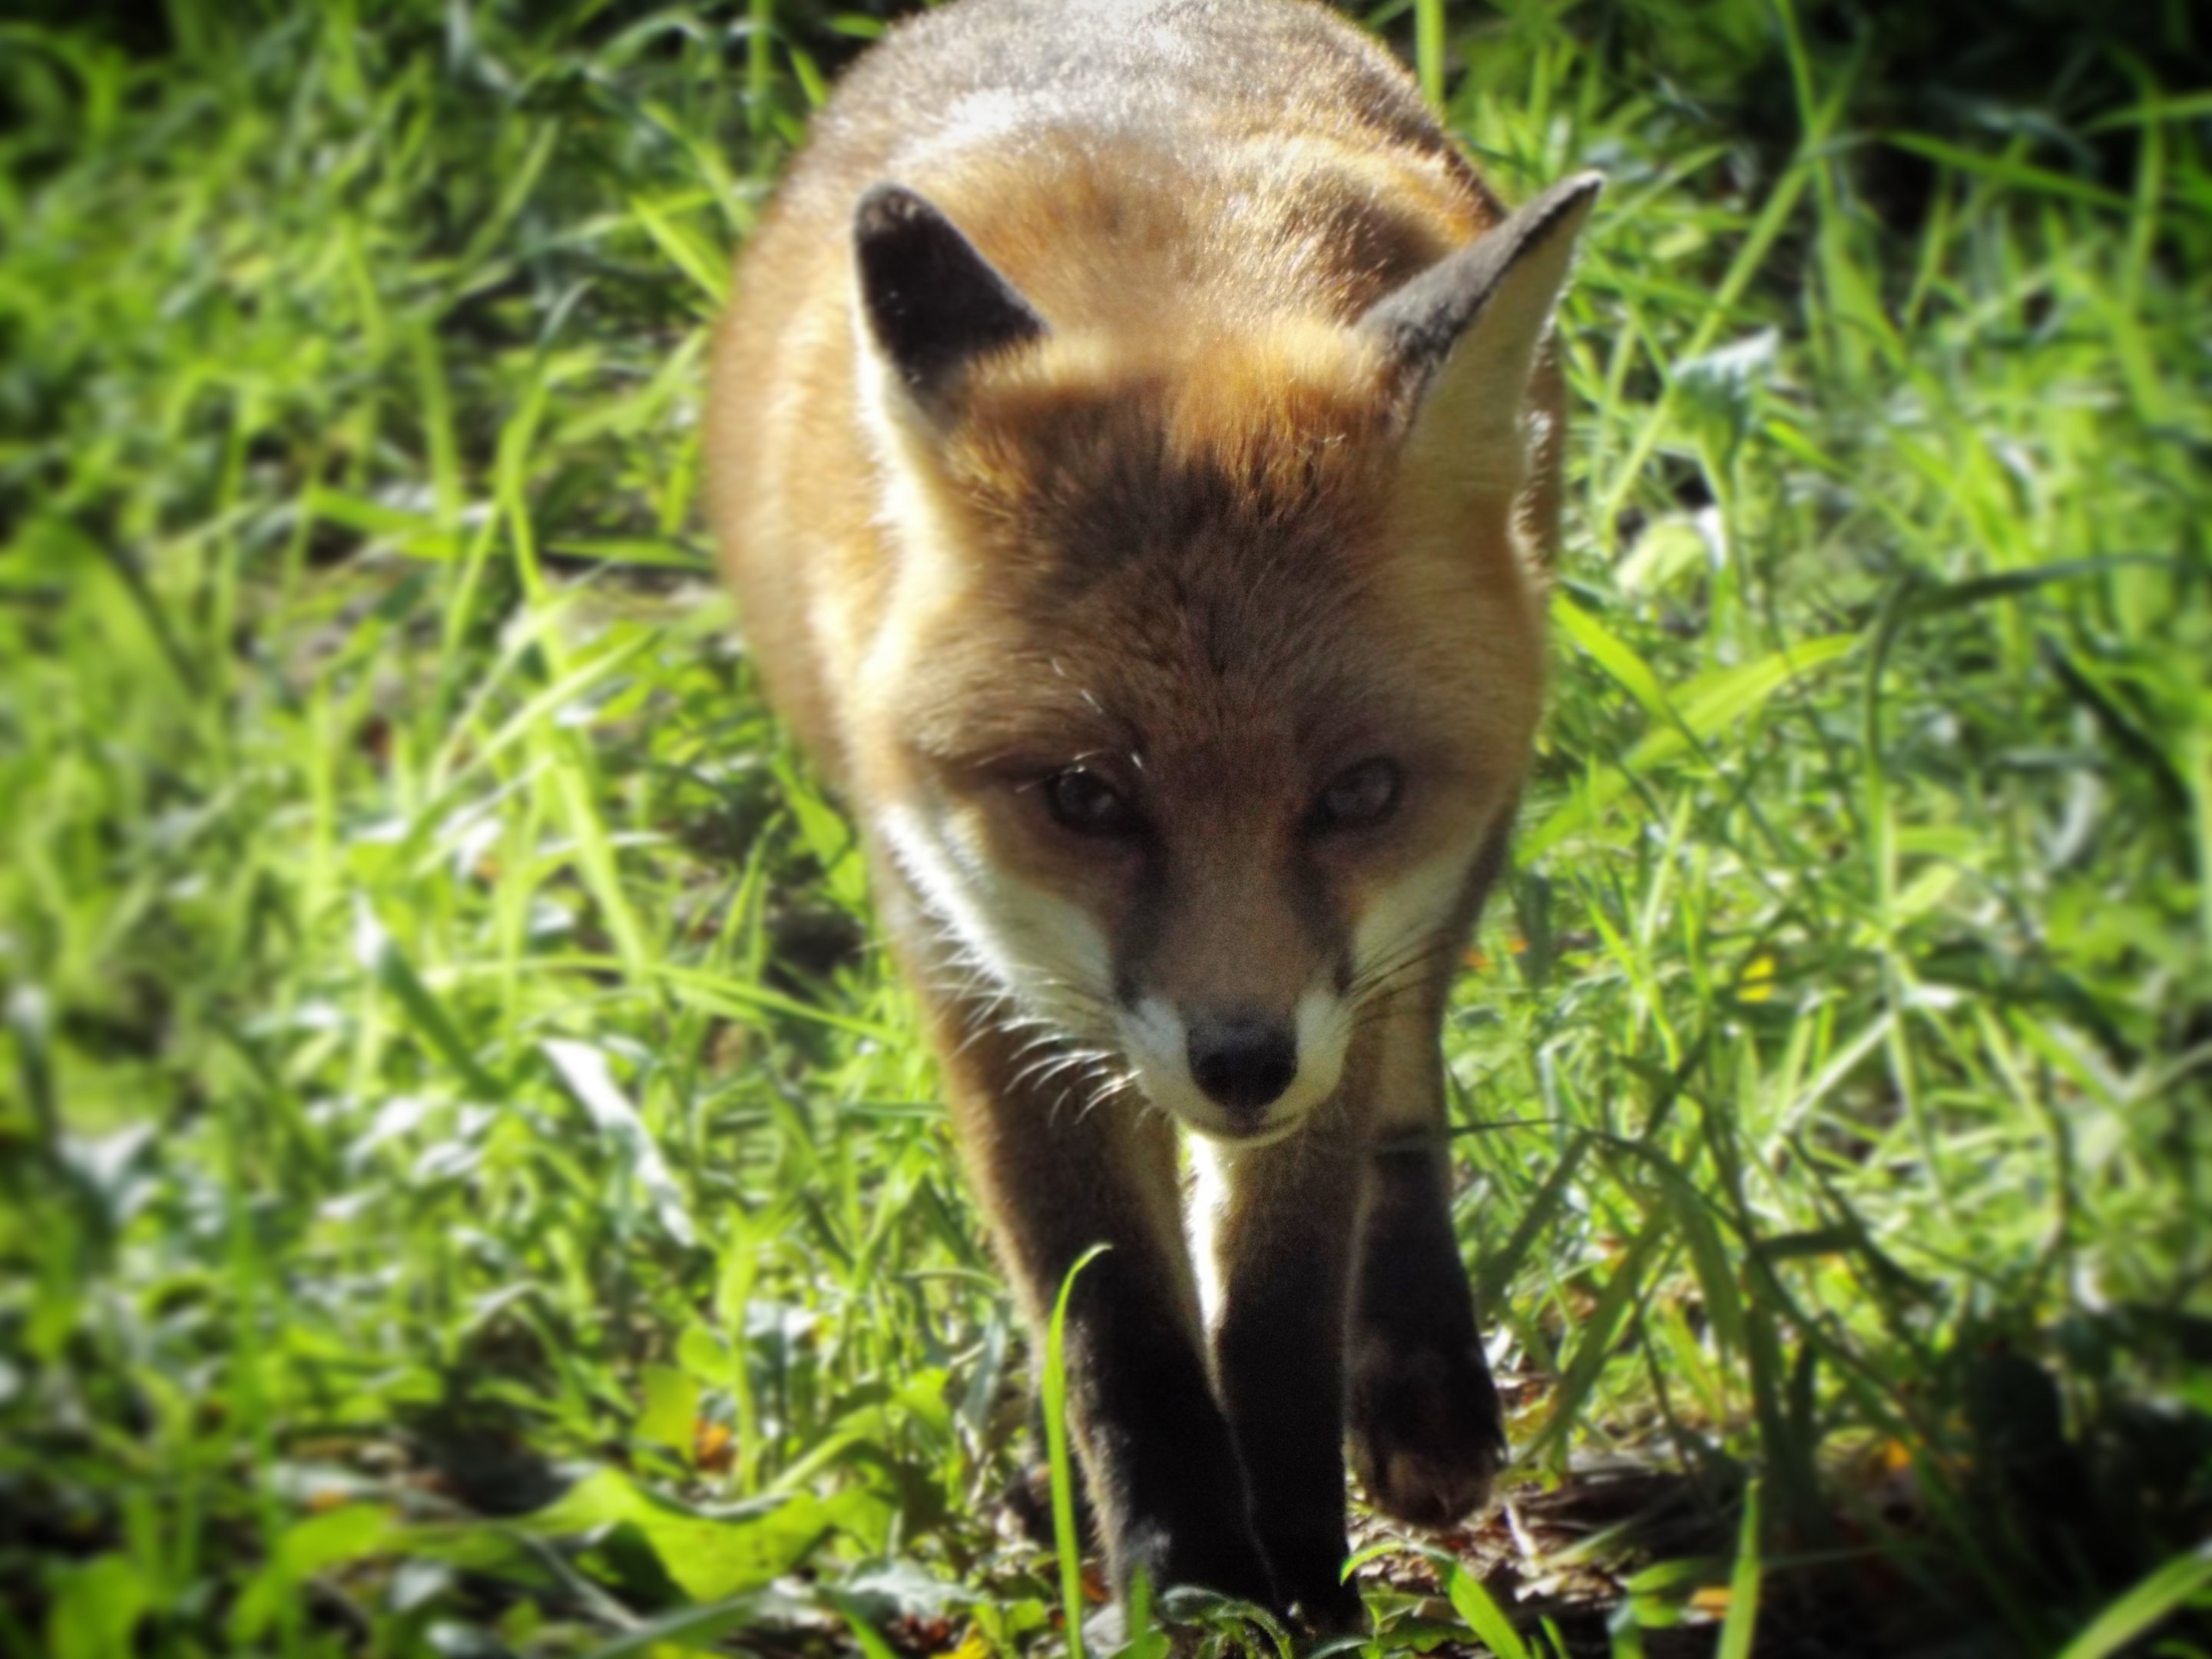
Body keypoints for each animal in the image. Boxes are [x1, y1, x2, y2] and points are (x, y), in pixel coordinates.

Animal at [705, 0, 1599, 1629]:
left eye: (1358, 791)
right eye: (1086, 796)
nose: (1241, 1062)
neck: (1173, 273)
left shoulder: (1348, 982)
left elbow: (1285, 1299)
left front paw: (1303, 1587)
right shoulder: (975, 962)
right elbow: (1116, 1327)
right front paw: (1186, 1586)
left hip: (1439, 900)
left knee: (1407, 1091)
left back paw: (1419, 1375)